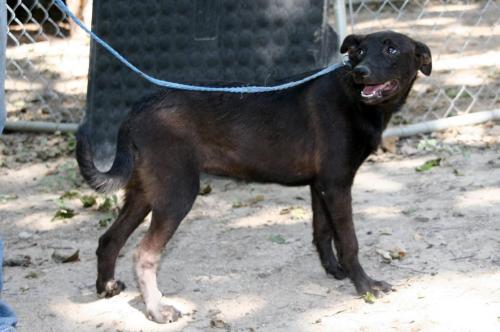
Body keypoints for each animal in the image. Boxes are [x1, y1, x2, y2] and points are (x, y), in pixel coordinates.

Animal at [77, 30, 430, 322]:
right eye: (358, 52)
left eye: (391, 48)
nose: (361, 72)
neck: (353, 98)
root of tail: (136, 110)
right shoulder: (337, 184)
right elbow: (349, 241)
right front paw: (365, 285)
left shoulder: (321, 185)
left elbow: (322, 232)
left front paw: (334, 271)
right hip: (177, 194)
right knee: (143, 255)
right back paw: (156, 310)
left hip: (145, 193)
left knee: (109, 239)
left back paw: (106, 286)